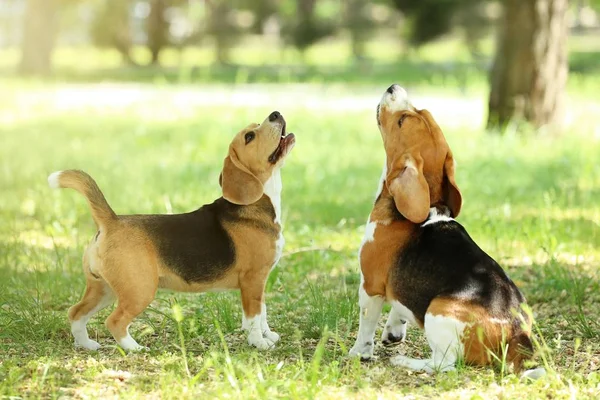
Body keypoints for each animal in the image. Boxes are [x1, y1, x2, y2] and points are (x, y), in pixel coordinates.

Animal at [48, 111, 296, 352]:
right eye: (249, 137)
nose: (275, 113)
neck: (260, 201)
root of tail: (111, 221)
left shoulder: (259, 282)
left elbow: (262, 312)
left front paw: (268, 335)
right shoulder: (253, 278)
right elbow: (254, 316)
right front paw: (259, 342)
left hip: (103, 288)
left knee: (76, 312)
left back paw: (87, 344)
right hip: (140, 289)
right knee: (114, 321)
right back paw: (135, 348)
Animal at [350, 85, 536, 376]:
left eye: (402, 120)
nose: (394, 87)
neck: (429, 205)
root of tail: (517, 336)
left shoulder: (371, 285)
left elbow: (366, 324)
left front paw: (359, 352)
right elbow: (400, 308)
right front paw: (393, 331)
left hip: (437, 311)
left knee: (444, 364)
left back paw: (406, 361)